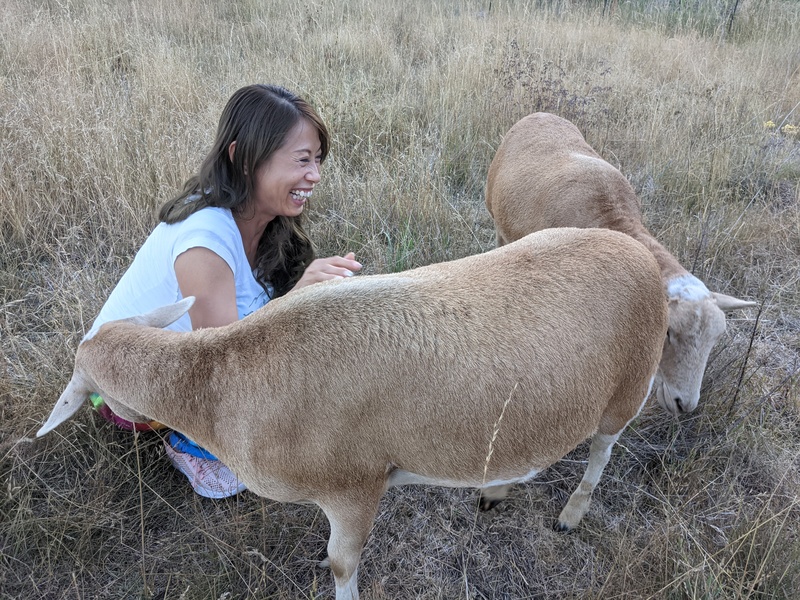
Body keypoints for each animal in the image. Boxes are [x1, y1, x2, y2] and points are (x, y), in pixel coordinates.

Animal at [37, 226, 668, 600]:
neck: (220, 383)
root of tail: (639, 250)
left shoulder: (355, 484)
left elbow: (345, 564)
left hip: (630, 384)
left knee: (603, 450)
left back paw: (572, 512)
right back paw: (497, 489)